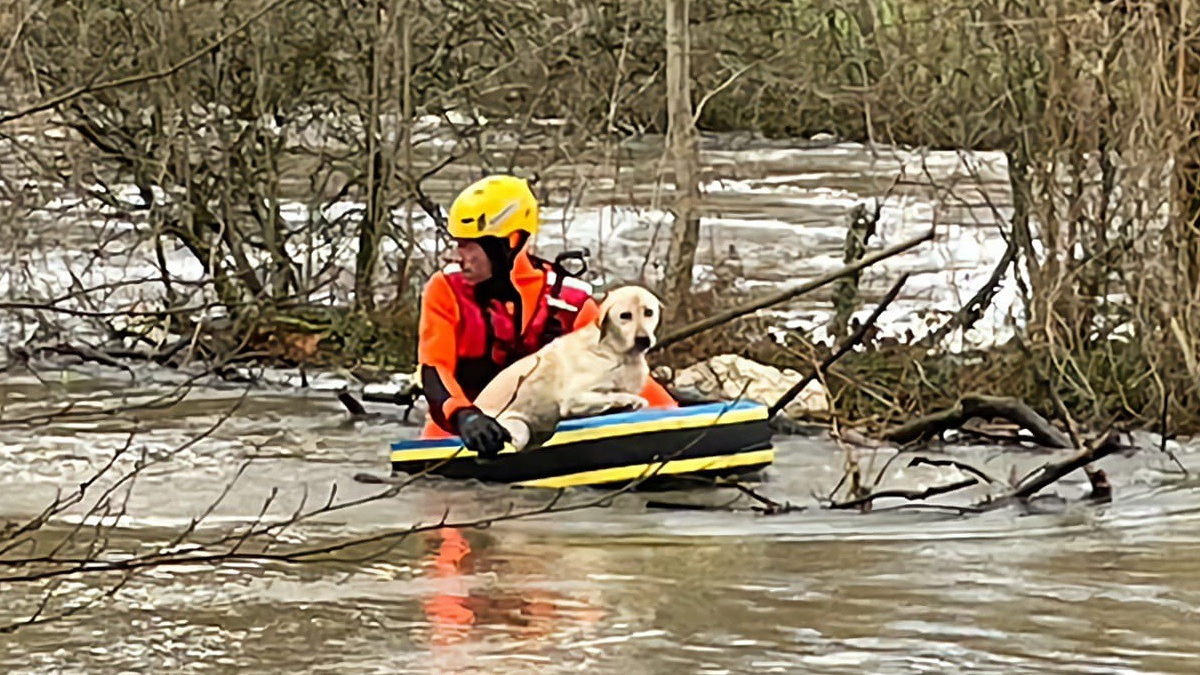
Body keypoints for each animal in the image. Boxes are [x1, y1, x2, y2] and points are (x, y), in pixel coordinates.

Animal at [468, 283, 662, 451]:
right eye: (625, 315)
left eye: (649, 312)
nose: (643, 340)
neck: (616, 352)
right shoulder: (573, 399)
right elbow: (616, 395)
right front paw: (630, 401)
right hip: (519, 428)